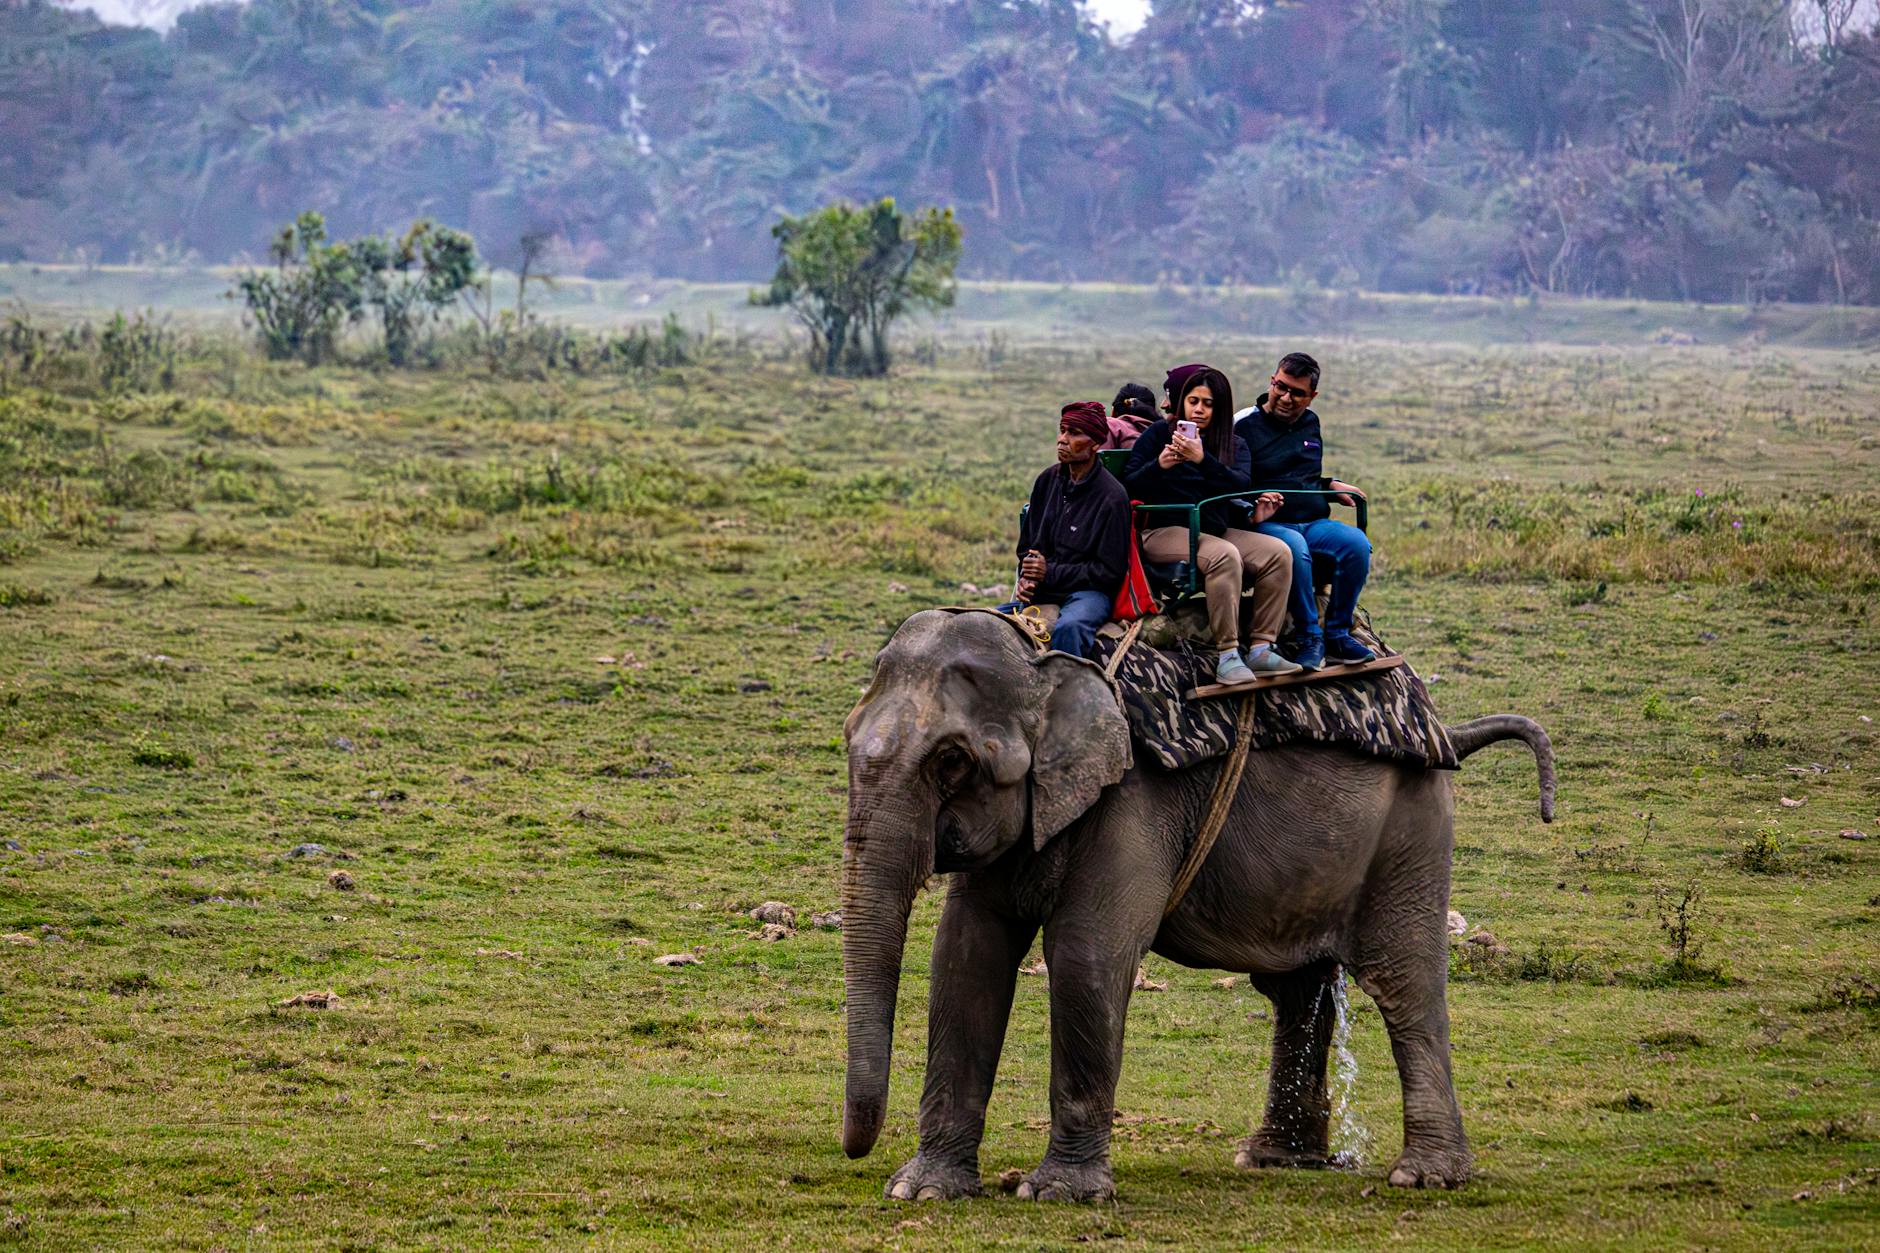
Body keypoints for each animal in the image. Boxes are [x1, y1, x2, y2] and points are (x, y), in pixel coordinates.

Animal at [840, 609, 1555, 1202]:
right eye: (847, 738)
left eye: (952, 761)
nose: (854, 1154)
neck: (1045, 661)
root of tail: (1443, 727)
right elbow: (966, 955)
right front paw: (923, 1191)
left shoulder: (1135, 800)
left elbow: (1086, 956)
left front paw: (1058, 1194)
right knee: (1297, 989)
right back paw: (1274, 1160)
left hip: (1412, 831)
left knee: (1402, 982)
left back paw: (1426, 1177)